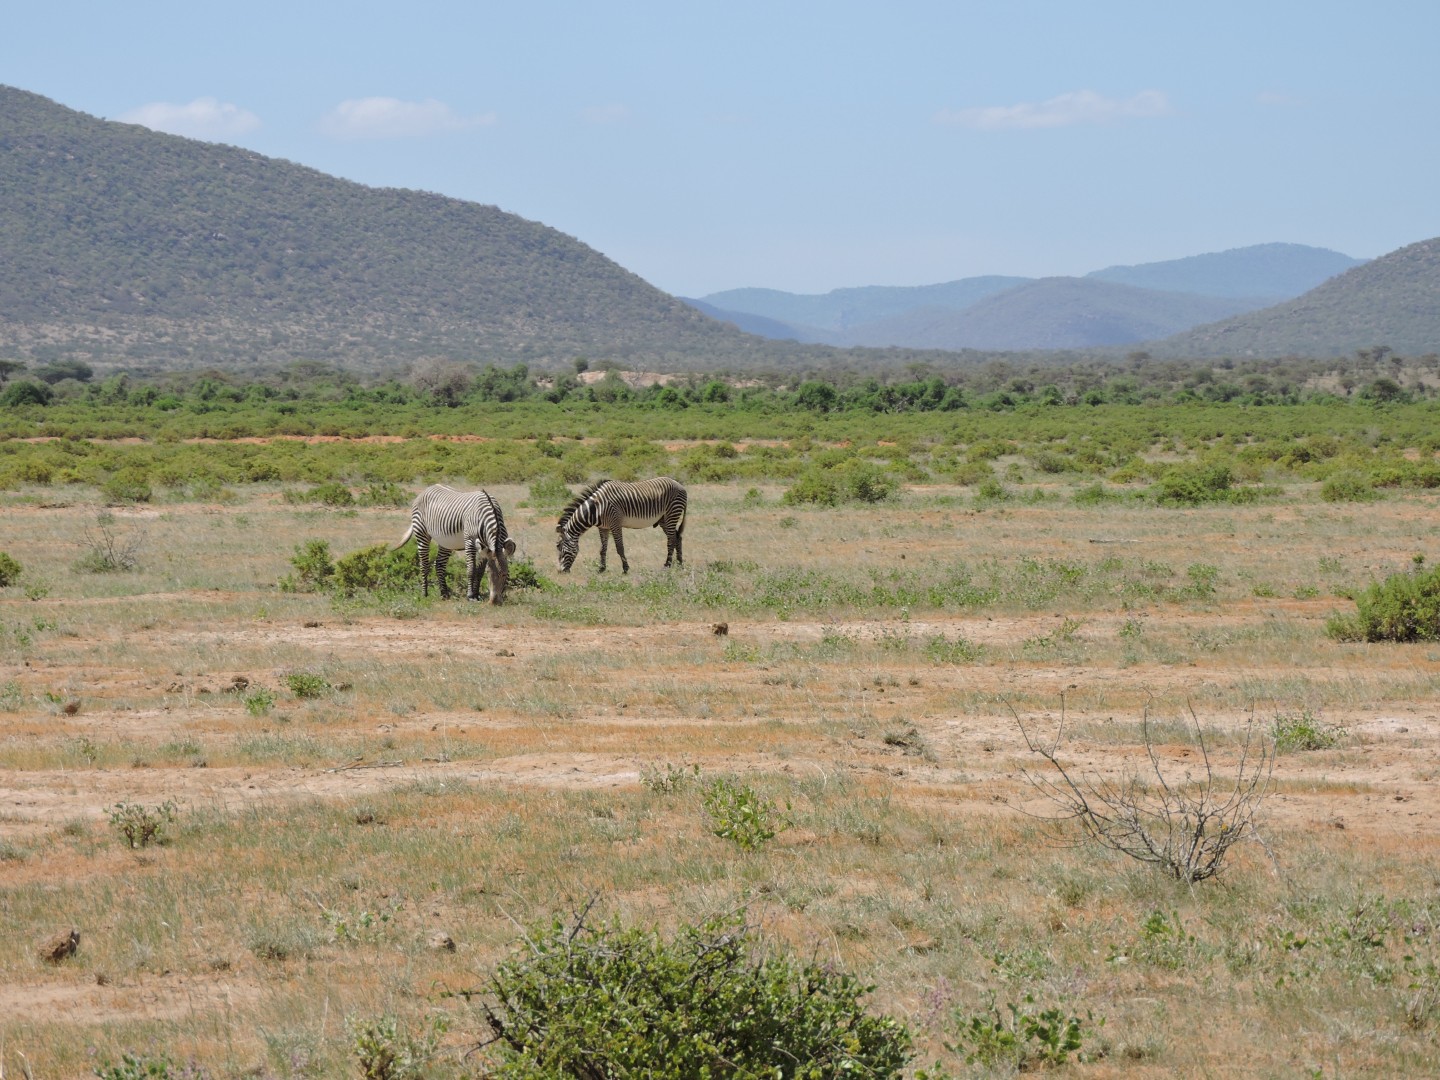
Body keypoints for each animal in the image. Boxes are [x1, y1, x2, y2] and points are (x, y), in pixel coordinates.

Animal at [555, 476, 687, 574]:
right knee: (677, 537)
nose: (560, 571)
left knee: (671, 540)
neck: (596, 508)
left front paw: (625, 569)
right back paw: (680, 564)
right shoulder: (603, 527)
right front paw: (601, 569)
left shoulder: (615, 523)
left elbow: (619, 547)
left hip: (671, 513)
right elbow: (602, 549)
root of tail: (680, 485)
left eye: (560, 548)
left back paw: (667, 565)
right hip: (663, 519)